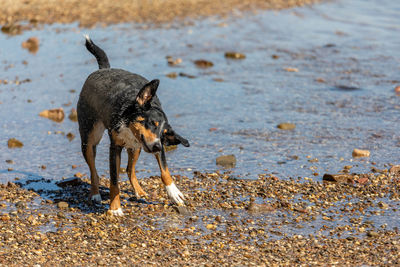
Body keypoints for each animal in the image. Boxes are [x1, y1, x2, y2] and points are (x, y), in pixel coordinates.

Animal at [78, 35, 191, 216]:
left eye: (163, 134)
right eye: (152, 123)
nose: (158, 146)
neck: (127, 119)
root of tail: (104, 69)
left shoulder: (152, 144)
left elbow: (165, 171)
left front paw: (174, 192)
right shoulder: (115, 147)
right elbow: (114, 180)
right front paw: (115, 208)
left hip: (136, 147)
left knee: (129, 169)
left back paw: (139, 191)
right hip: (89, 139)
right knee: (94, 171)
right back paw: (95, 194)